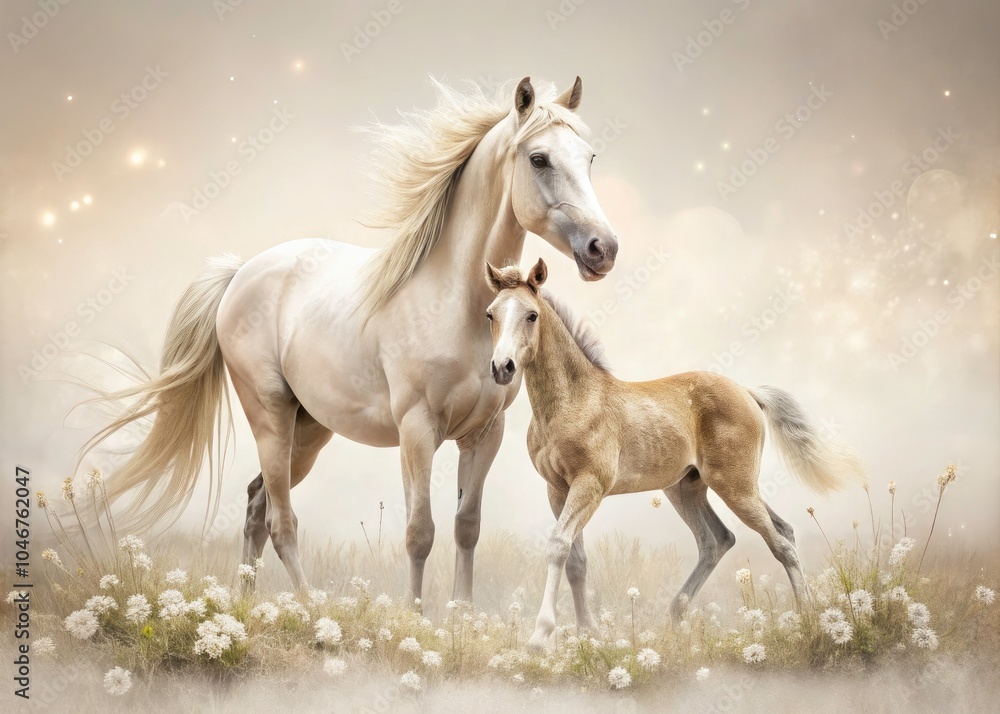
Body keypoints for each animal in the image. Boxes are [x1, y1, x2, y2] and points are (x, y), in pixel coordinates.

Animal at [80, 76, 619, 604]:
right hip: (271, 419)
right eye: (539, 159)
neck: (459, 306)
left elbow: (467, 526)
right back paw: (307, 607)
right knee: (281, 521)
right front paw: (415, 615)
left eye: (590, 156)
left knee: (256, 506)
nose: (603, 248)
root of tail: (240, 273)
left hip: (310, 430)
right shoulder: (417, 430)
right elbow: (420, 531)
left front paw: (461, 614)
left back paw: (246, 603)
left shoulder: (486, 433)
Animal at [483, 259, 868, 650]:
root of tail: (746, 391)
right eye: (490, 314)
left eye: (531, 315)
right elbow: (576, 559)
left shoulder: (589, 485)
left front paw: (540, 635)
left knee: (779, 544)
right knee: (728, 538)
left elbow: (558, 546)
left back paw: (808, 621)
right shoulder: (558, 489)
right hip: (688, 488)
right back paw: (677, 614)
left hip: (735, 486)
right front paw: (587, 633)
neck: (573, 401)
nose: (502, 367)